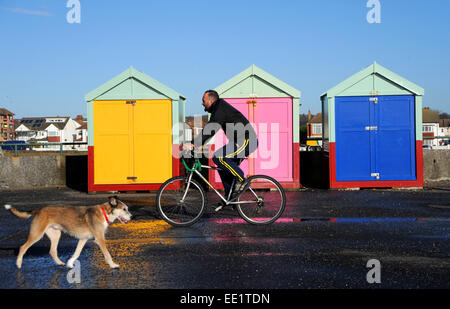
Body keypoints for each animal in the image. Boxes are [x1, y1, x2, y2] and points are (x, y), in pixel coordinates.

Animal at [4, 196, 132, 268]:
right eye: (124, 209)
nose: (132, 217)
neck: (104, 212)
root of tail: (38, 210)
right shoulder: (100, 239)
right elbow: (107, 254)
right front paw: (113, 265)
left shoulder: (83, 239)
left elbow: (77, 252)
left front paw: (70, 263)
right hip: (37, 235)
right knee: (23, 247)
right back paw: (18, 264)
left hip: (56, 235)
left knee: (52, 251)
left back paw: (60, 263)